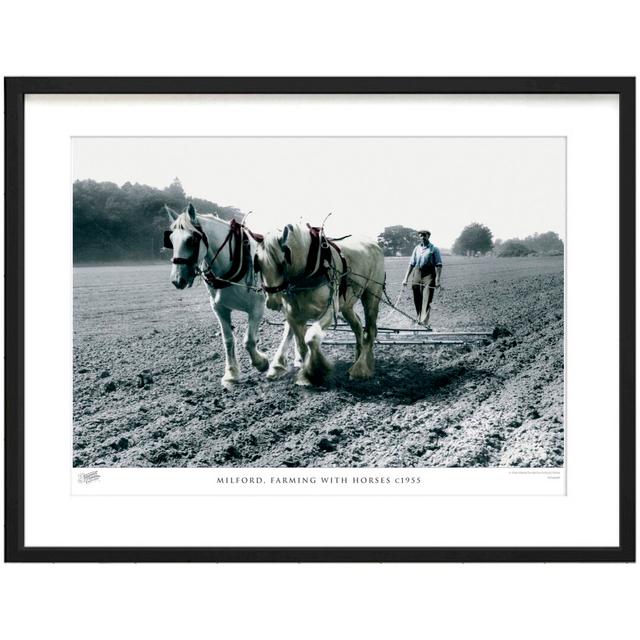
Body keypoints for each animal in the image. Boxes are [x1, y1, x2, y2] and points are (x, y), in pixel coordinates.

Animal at [164, 204, 296, 384]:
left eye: (191, 240)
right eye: (171, 240)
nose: (177, 280)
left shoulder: (257, 307)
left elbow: (248, 341)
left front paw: (261, 362)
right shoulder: (220, 309)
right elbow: (228, 340)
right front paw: (231, 373)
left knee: (291, 326)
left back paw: (278, 365)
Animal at [255, 225, 384, 384]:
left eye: (282, 262)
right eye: (257, 263)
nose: (272, 301)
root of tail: (375, 245)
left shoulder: (329, 311)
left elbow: (311, 337)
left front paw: (317, 371)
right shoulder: (293, 315)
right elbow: (302, 345)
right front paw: (305, 373)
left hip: (372, 295)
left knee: (370, 330)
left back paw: (360, 368)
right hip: (346, 305)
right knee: (357, 325)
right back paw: (358, 357)